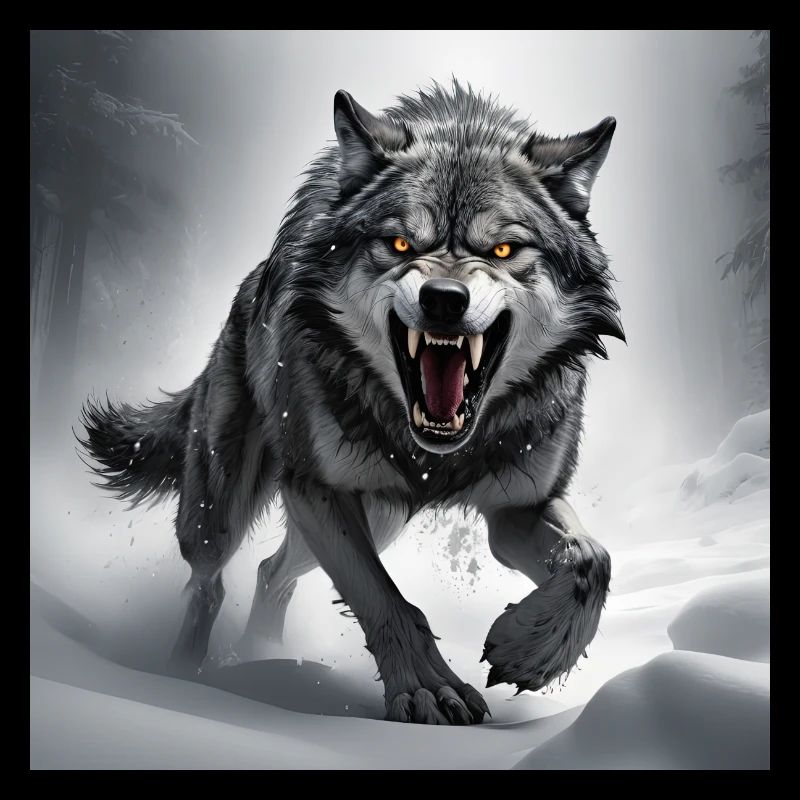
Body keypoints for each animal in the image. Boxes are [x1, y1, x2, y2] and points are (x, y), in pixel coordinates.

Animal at [80, 82, 624, 725]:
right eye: (399, 243)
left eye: (503, 249)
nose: (444, 299)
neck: (437, 456)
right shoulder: (316, 488)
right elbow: (383, 598)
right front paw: (427, 688)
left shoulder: (518, 509)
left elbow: (592, 560)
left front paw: (530, 652)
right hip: (221, 515)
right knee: (207, 582)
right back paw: (182, 674)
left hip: (379, 518)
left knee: (270, 572)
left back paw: (263, 655)